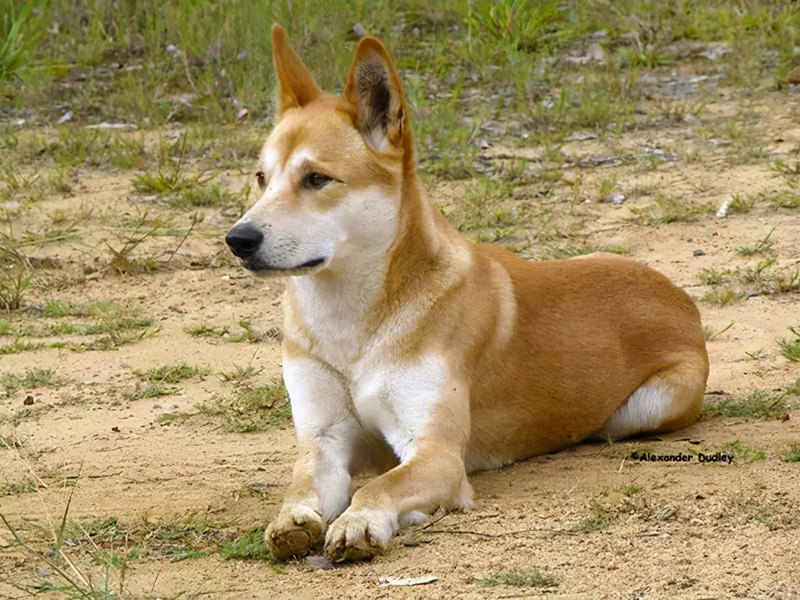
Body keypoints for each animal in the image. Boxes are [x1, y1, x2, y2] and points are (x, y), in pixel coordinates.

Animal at [223, 25, 708, 564]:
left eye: (316, 178)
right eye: (261, 179)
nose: (238, 239)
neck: (351, 326)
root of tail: (682, 301)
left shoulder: (436, 453)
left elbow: (378, 486)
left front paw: (360, 521)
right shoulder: (324, 440)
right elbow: (301, 486)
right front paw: (292, 520)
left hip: (640, 411)